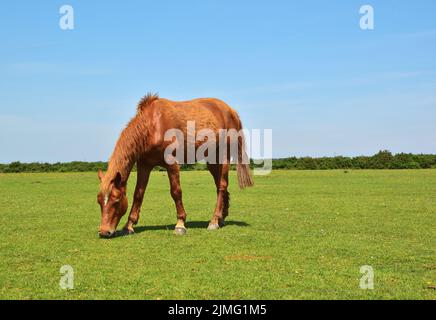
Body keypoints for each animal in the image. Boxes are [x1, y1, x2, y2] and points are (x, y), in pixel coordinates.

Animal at [95, 93, 252, 238]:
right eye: (99, 201)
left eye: (116, 200)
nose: (104, 232)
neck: (153, 126)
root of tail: (231, 111)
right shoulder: (144, 165)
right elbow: (138, 194)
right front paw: (129, 225)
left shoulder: (172, 164)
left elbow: (176, 192)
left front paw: (180, 224)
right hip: (213, 161)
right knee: (220, 185)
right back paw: (221, 218)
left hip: (223, 156)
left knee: (222, 186)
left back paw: (214, 221)